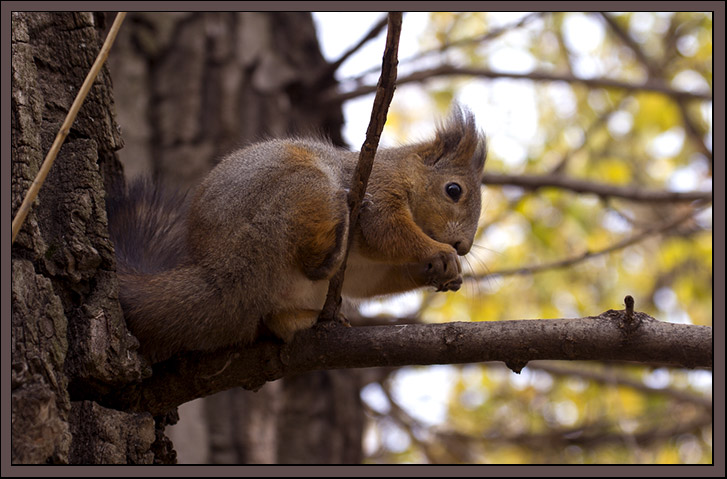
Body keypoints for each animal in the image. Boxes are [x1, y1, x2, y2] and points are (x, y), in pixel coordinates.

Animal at [105, 107, 486, 362]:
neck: (402, 173)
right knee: (313, 259)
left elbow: (371, 280)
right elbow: (385, 230)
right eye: (453, 190)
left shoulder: (366, 269)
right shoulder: (379, 188)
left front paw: (443, 273)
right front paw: (438, 253)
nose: (463, 246)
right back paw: (336, 237)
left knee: (279, 318)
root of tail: (221, 273)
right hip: (298, 194)